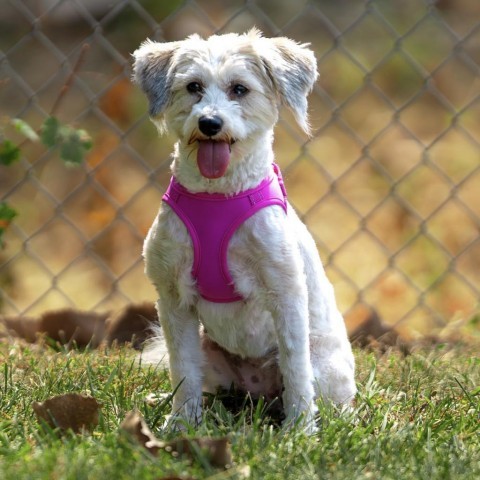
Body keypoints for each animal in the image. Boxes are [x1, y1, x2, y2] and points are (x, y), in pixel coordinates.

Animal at [133, 28, 354, 430]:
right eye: (193, 86)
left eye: (239, 89)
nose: (209, 123)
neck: (218, 195)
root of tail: (258, 395)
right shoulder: (173, 297)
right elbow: (183, 370)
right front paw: (180, 424)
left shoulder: (286, 294)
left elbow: (296, 370)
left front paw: (300, 431)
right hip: (212, 357)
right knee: (208, 387)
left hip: (325, 370)